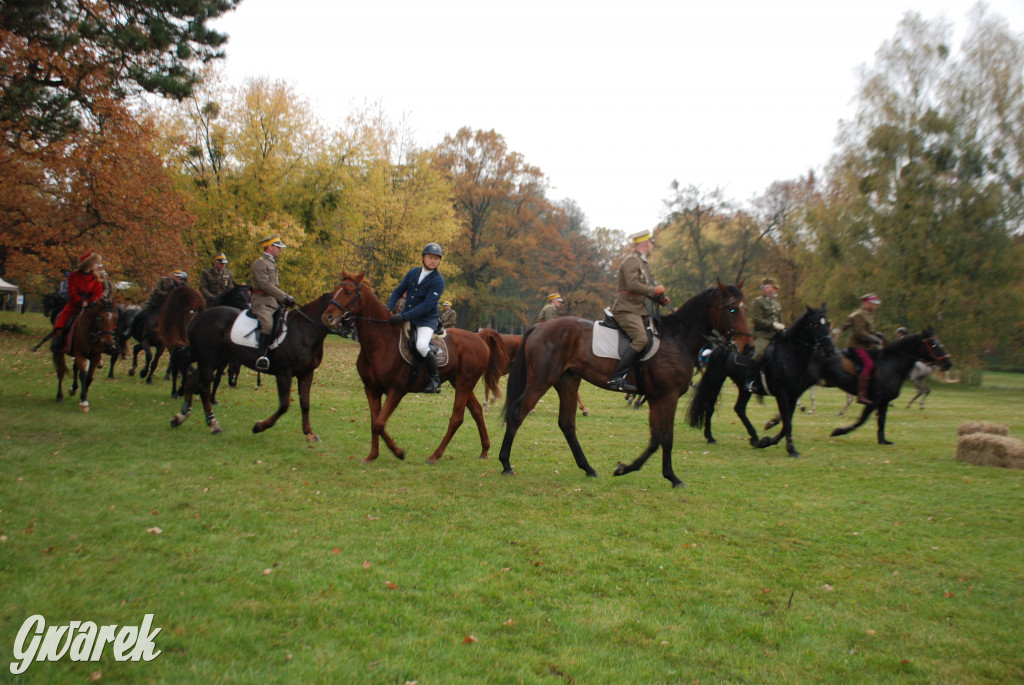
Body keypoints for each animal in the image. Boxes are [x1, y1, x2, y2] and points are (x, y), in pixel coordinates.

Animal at [321, 272, 509, 464]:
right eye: (335, 290)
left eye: (349, 292)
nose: (327, 317)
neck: (381, 343)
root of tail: (478, 337)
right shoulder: (371, 389)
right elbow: (374, 422)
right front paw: (372, 455)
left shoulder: (396, 391)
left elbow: (379, 423)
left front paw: (398, 452)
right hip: (460, 383)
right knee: (477, 411)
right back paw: (484, 450)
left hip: (465, 384)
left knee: (457, 418)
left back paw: (434, 455)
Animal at [495, 278, 753, 485]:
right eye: (732, 310)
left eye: (744, 309)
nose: (749, 348)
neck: (676, 339)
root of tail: (539, 328)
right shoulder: (667, 397)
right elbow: (666, 438)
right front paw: (671, 477)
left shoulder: (655, 399)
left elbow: (656, 438)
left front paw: (628, 469)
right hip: (541, 381)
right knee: (518, 413)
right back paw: (506, 464)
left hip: (567, 382)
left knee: (567, 424)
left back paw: (588, 468)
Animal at [684, 305, 835, 456]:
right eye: (815, 325)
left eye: (827, 324)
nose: (829, 350)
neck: (790, 356)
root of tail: (722, 346)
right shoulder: (782, 394)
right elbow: (787, 422)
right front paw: (790, 449)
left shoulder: (793, 395)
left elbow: (787, 422)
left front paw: (767, 441)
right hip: (716, 380)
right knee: (710, 406)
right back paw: (710, 436)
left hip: (744, 388)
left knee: (739, 408)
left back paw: (754, 438)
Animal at [815, 329, 950, 444]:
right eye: (934, 345)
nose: (948, 363)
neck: (891, 365)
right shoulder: (876, 400)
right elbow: (864, 419)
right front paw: (839, 431)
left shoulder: (881, 400)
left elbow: (879, 419)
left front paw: (882, 440)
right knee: (923, 391)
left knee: (924, 391)